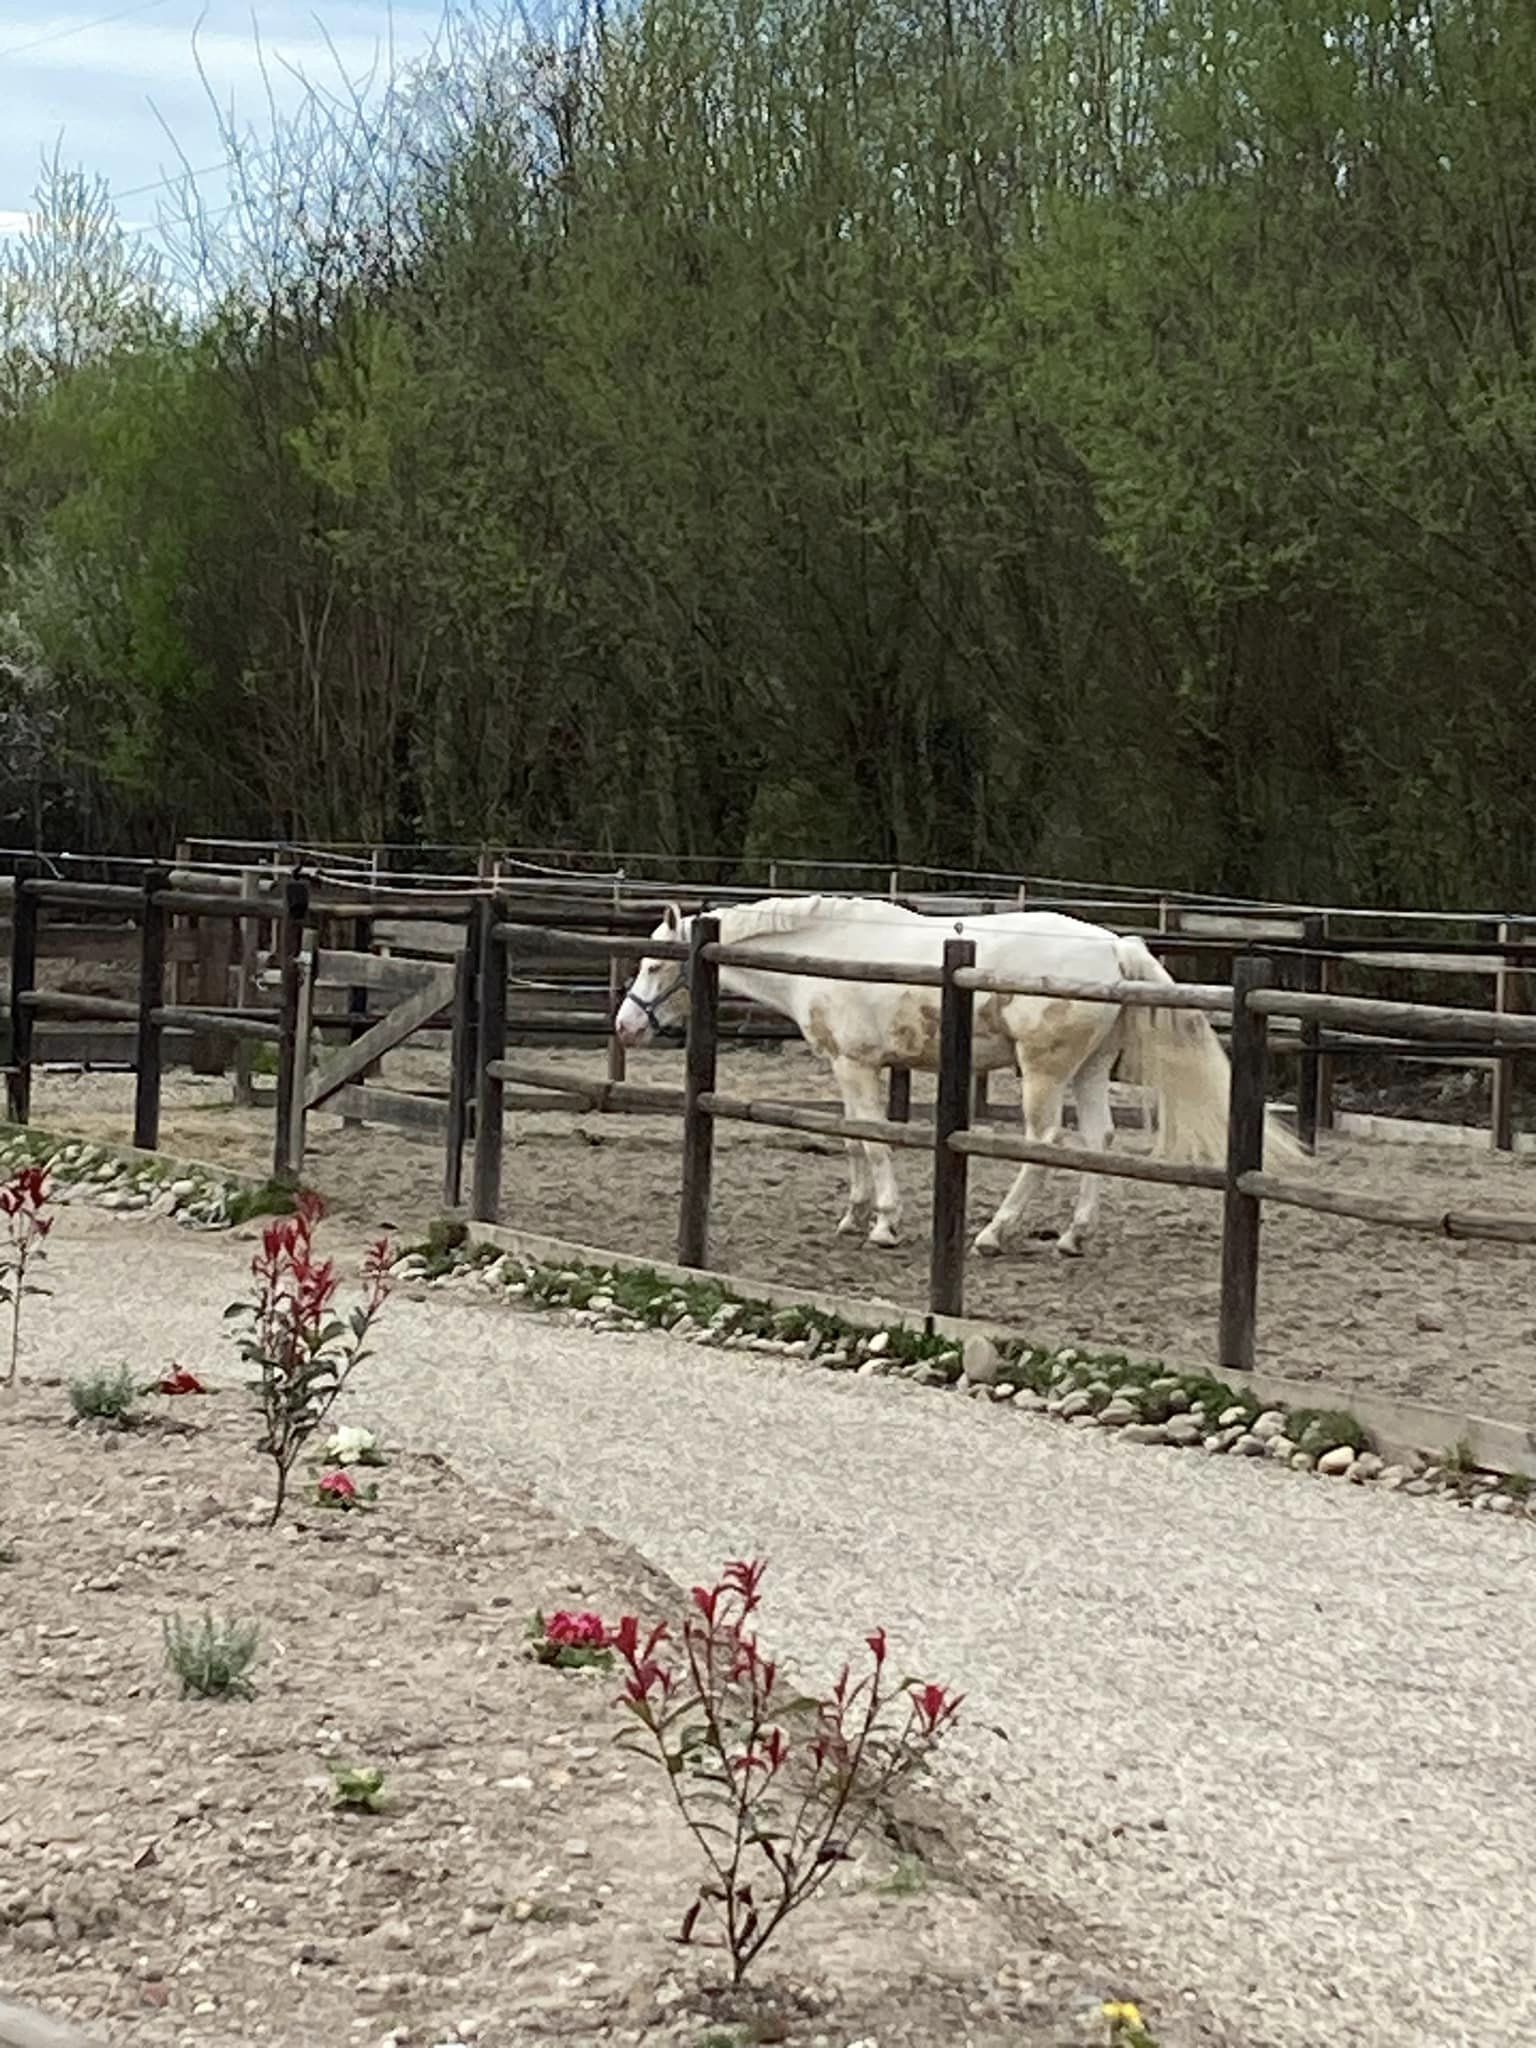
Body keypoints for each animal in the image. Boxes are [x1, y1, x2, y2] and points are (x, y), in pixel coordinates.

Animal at [614, 894, 1298, 1256]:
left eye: (653, 964)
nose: (625, 1026)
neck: (828, 953)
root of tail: (1113, 949)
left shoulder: (858, 1065)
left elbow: (876, 1141)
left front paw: (885, 1224)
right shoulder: (843, 1067)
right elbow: (853, 1139)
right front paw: (853, 1216)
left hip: (1042, 1074)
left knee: (1044, 1145)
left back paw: (994, 1233)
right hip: (1087, 1072)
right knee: (1096, 1142)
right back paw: (1072, 1236)